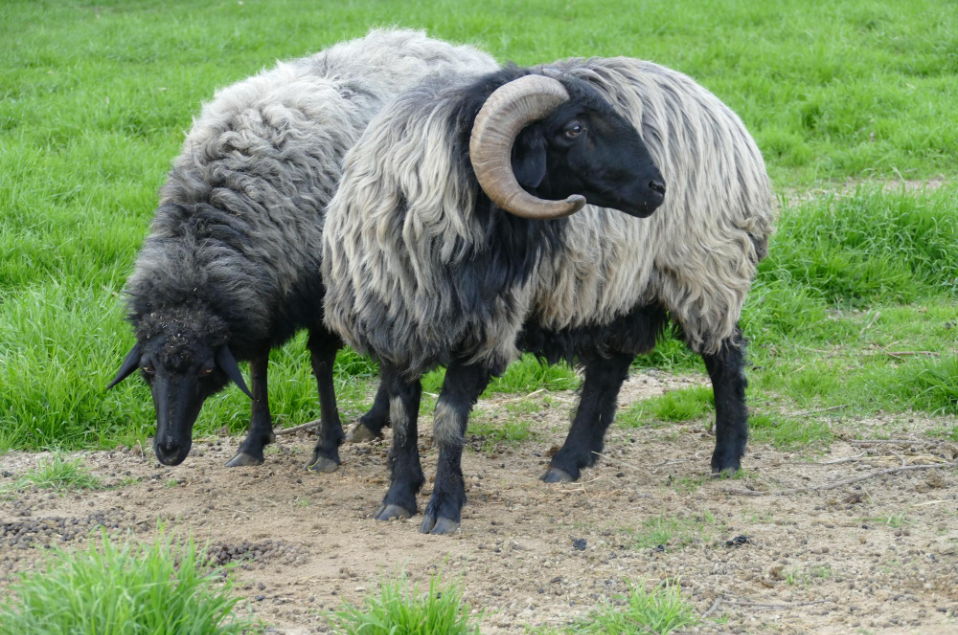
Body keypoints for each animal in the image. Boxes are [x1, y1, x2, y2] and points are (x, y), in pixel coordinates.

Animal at [109, 28, 498, 468]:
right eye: (148, 370)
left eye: (206, 371)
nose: (169, 450)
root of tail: (454, 47)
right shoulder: (265, 296)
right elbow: (258, 363)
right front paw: (254, 442)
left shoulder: (318, 289)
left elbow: (321, 362)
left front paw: (327, 445)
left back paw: (373, 420)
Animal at [326, 59, 776, 536]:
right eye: (574, 128)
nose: (658, 188)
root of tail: (721, 111)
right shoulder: (393, 325)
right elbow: (402, 415)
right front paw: (398, 496)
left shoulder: (485, 331)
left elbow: (447, 418)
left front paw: (444, 507)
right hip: (620, 288)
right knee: (608, 370)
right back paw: (569, 460)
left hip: (707, 269)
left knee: (724, 358)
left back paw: (727, 459)